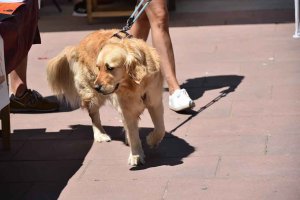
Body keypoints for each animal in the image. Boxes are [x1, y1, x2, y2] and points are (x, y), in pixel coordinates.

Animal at [48, 28, 168, 166]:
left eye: (110, 68)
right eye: (98, 67)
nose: (97, 87)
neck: (134, 85)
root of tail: (78, 45)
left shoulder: (155, 102)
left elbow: (160, 128)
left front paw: (152, 140)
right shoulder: (127, 109)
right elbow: (133, 134)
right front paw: (136, 155)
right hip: (93, 97)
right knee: (94, 116)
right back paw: (100, 134)